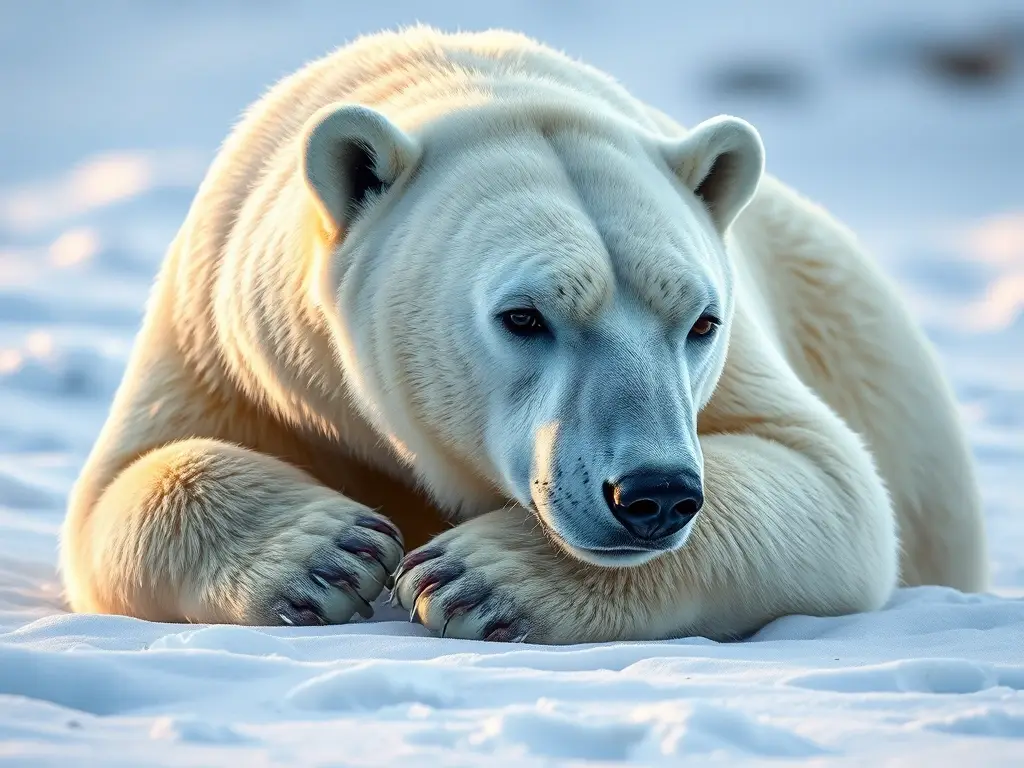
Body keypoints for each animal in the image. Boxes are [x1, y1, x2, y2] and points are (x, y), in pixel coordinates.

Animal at [59, 25, 988, 643]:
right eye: (524, 316)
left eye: (700, 320)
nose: (653, 494)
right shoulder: (235, 345)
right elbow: (127, 484)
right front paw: (328, 555)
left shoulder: (747, 369)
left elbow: (829, 484)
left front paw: (476, 579)